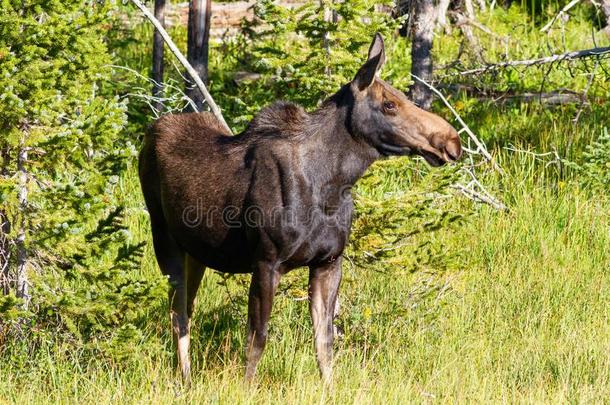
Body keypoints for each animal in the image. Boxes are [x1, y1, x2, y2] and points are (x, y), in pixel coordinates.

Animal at [138, 34, 460, 382]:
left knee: (187, 308)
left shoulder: (329, 262)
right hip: (164, 237)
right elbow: (257, 340)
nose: (451, 141)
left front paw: (329, 388)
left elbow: (325, 342)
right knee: (177, 313)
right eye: (390, 104)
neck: (331, 187)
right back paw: (184, 378)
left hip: (197, 250)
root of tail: (150, 131)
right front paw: (245, 388)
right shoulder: (266, 262)